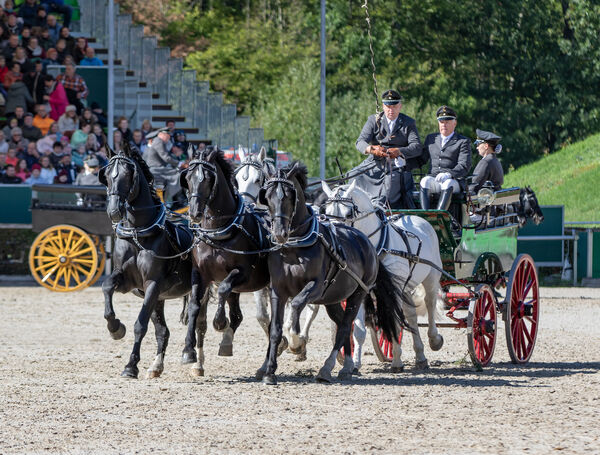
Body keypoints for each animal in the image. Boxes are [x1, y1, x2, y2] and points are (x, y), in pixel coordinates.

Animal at [98, 144, 192, 380]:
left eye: (127, 174)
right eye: (107, 175)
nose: (114, 210)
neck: (138, 233)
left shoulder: (152, 283)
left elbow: (140, 325)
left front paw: (131, 366)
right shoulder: (128, 282)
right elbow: (106, 286)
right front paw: (115, 327)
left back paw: (193, 358)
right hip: (160, 299)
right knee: (163, 331)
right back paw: (156, 366)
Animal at [178, 148, 272, 376]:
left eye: (208, 179)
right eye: (187, 178)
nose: (194, 212)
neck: (219, 231)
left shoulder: (243, 274)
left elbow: (223, 291)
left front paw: (220, 322)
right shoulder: (200, 274)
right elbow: (194, 307)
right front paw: (188, 351)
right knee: (238, 314)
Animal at [256, 163, 408, 384]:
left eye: (289, 196)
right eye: (267, 197)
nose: (279, 233)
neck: (295, 246)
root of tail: (366, 242)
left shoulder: (315, 287)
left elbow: (296, 306)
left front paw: (296, 341)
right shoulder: (277, 290)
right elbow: (274, 329)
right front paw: (269, 371)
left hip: (358, 294)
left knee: (345, 325)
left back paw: (330, 368)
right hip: (333, 298)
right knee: (342, 324)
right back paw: (347, 364)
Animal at [324, 180, 446, 372]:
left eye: (349, 212)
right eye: (326, 211)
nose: (335, 238)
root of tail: (421, 220)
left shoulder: (392, 292)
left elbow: (394, 323)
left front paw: (396, 361)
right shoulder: (361, 291)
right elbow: (358, 330)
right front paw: (355, 364)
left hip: (431, 278)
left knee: (430, 305)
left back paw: (434, 340)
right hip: (406, 287)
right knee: (411, 315)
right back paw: (420, 356)